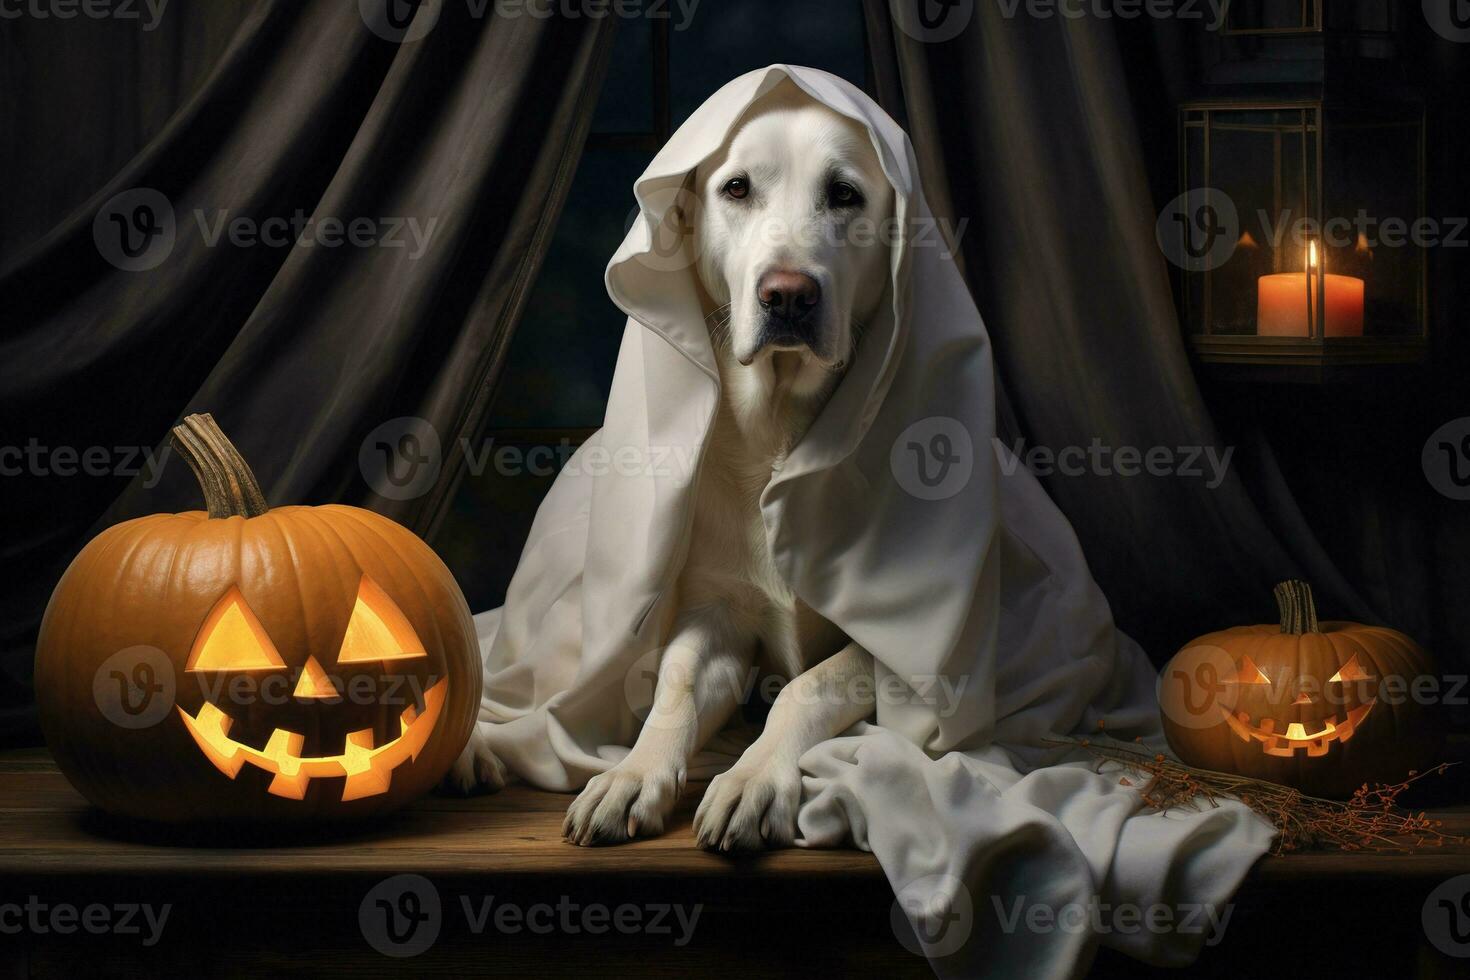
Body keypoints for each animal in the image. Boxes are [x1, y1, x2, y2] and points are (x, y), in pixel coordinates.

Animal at [458, 84, 893, 852]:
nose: (787, 295)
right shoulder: (715, 614)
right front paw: (634, 774)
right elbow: (678, 682)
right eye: (737, 188)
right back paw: (475, 750)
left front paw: (753, 779)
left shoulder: (892, 646)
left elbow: (810, 685)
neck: (779, 437)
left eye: (845, 194)